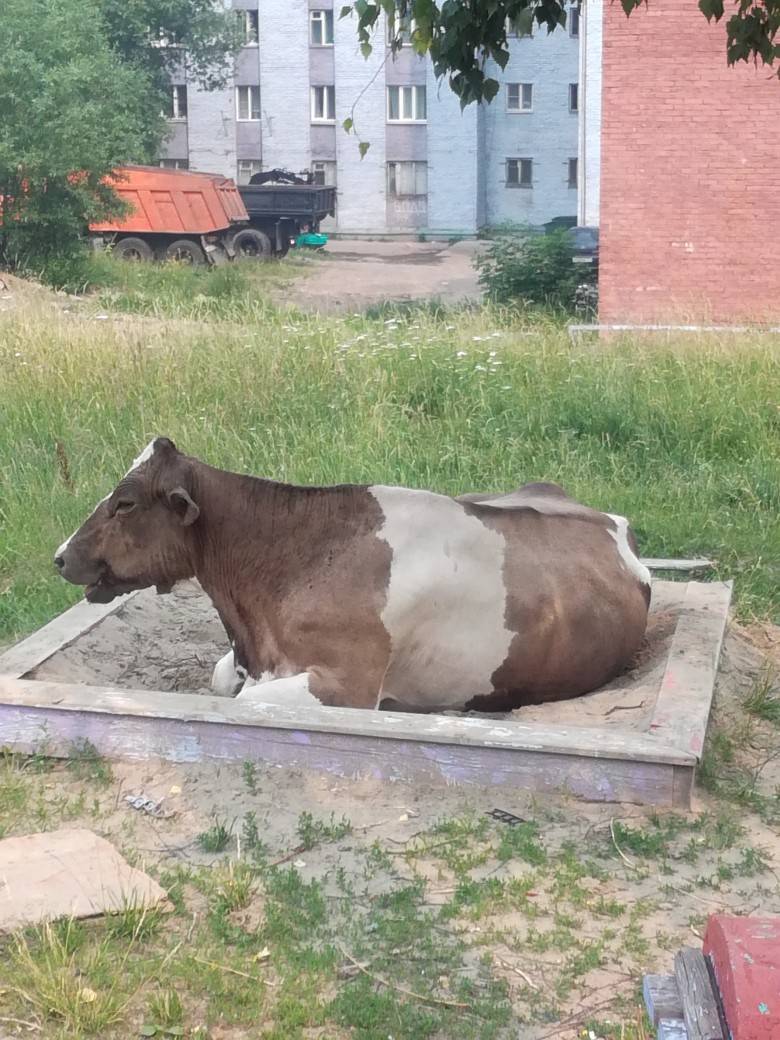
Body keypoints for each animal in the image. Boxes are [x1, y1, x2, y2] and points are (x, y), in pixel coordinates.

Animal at [55, 438, 651, 713]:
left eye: (125, 503)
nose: (59, 556)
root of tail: (608, 517)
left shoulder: (348, 685)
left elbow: (247, 700)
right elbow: (224, 679)